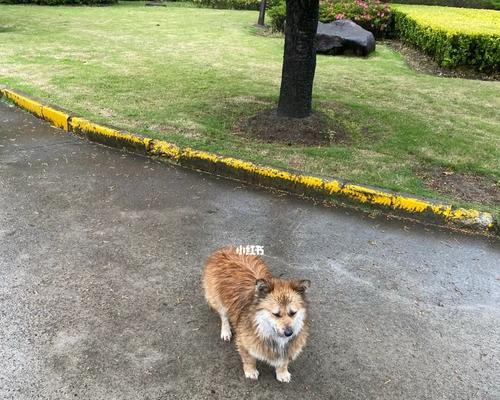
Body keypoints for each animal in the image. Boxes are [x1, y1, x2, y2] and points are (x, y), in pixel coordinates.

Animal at [202, 247, 310, 382]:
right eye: (276, 314)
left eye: (293, 313)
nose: (289, 333)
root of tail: (224, 249)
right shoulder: (244, 342)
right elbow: (249, 359)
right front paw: (250, 370)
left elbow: (283, 360)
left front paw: (282, 372)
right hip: (216, 299)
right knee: (224, 316)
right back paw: (226, 331)